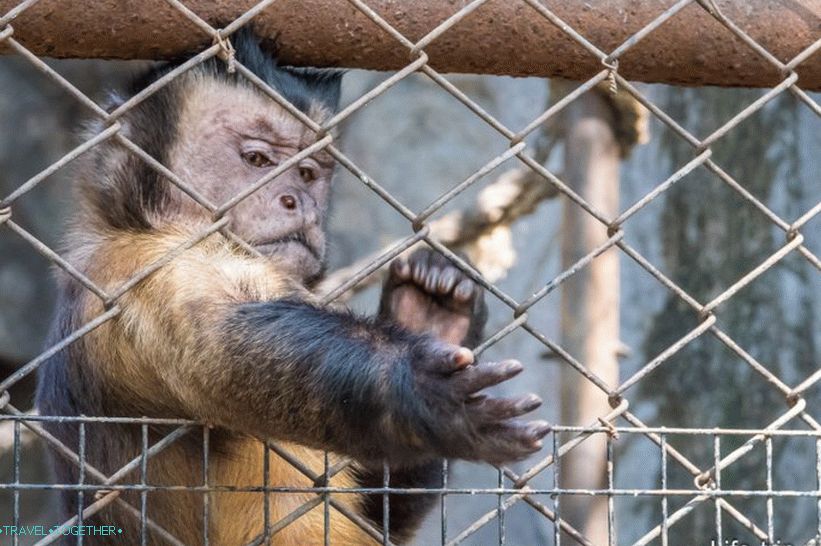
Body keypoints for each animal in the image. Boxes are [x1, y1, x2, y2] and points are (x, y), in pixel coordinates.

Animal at [36, 30, 552, 544]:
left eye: (307, 173)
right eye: (257, 160)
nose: (299, 200)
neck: (132, 227)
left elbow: (382, 512)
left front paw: (431, 315)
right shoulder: (140, 270)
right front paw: (423, 391)